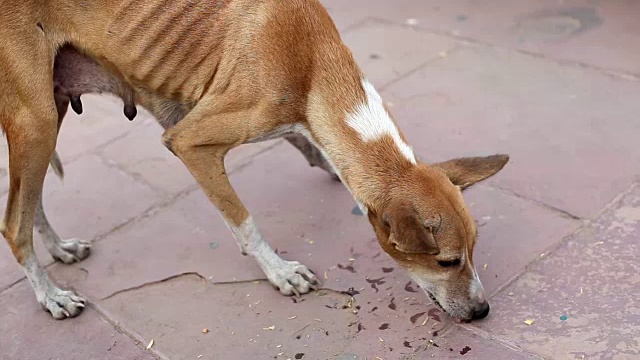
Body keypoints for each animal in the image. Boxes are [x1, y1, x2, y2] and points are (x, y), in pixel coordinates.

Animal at [1, 0, 510, 320]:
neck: (312, 63)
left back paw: (60, 250)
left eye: (475, 250)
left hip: (48, 115)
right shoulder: (188, 141)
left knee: (29, 198)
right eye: (446, 262)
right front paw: (280, 273)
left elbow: (320, 155)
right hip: (37, 123)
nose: (482, 311)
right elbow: (244, 222)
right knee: (13, 223)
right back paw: (51, 297)